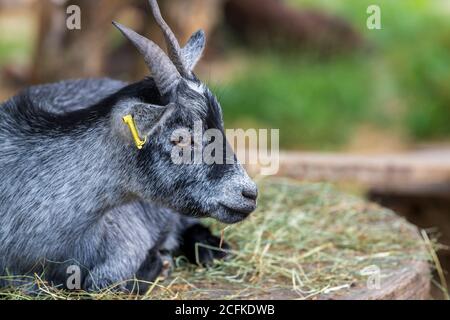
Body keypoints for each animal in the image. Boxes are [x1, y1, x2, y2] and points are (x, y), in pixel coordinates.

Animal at [0, 0, 258, 292]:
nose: (249, 193)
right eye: (180, 138)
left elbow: (103, 280)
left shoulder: (127, 235)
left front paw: (159, 262)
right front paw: (158, 263)